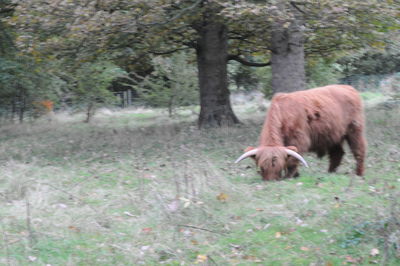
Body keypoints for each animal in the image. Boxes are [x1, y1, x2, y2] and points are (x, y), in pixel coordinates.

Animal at [236, 85, 368, 181]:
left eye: (279, 168)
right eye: (262, 168)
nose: (271, 181)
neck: (281, 113)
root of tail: (349, 87)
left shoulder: (299, 139)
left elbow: (293, 159)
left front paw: (290, 176)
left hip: (354, 130)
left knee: (359, 150)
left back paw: (359, 174)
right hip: (332, 135)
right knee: (337, 153)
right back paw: (330, 172)